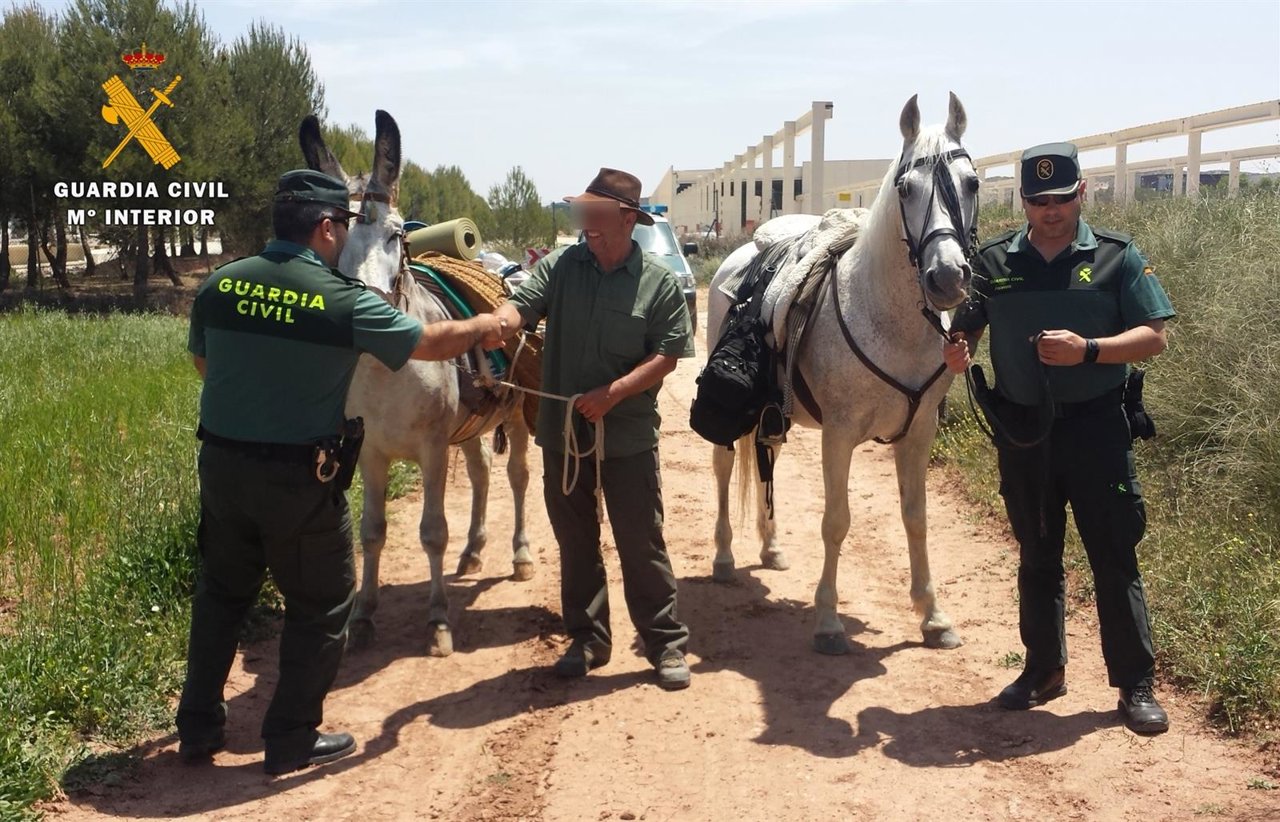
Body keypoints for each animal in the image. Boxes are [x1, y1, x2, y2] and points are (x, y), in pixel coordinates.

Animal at [298, 110, 533, 657]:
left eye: (394, 235)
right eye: (331, 235)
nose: (364, 308)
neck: (387, 369)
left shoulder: (431, 449)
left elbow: (432, 532)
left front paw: (439, 622)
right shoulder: (369, 451)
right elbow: (371, 533)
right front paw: (363, 617)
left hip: (514, 413)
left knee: (516, 477)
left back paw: (518, 555)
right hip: (467, 427)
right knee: (482, 475)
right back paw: (473, 552)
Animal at [707, 93, 979, 654]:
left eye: (973, 183)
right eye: (905, 187)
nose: (946, 277)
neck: (889, 321)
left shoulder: (919, 433)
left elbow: (916, 519)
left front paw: (933, 616)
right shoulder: (839, 434)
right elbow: (836, 522)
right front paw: (828, 621)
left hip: (774, 413)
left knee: (767, 457)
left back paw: (771, 547)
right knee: (724, 469)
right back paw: (724, 556)